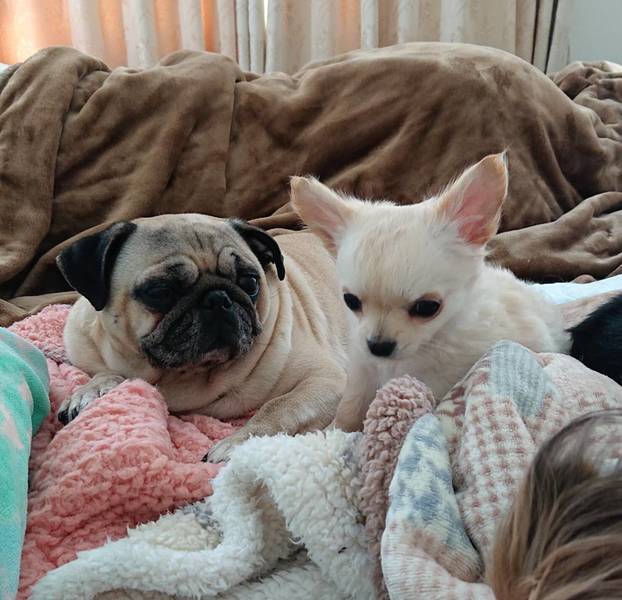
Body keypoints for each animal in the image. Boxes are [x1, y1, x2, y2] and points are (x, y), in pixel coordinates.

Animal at [56, 214, 348, 461]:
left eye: (250, 282)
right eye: (160, 291)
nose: (218, 299)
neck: (180, 377)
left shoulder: (326, 380)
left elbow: (278, 407)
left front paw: (237, 443)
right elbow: (107, 373)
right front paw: (92, 389)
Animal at [291, 154, 576, 432]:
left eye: (427, 308)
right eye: (350, 301)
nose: (378, 346)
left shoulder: (437, 380)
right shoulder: (363, 366)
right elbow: (350, 406)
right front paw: (335, 430)